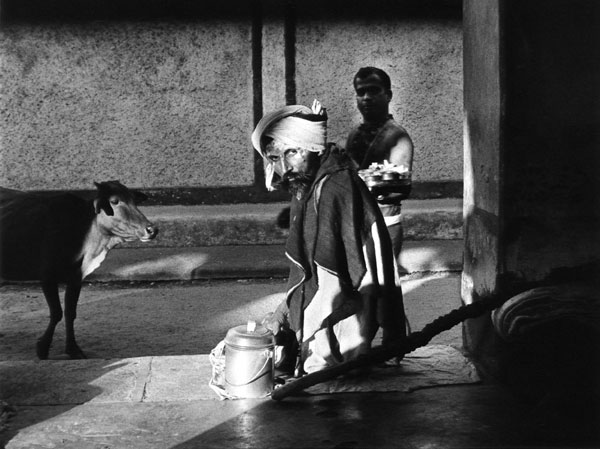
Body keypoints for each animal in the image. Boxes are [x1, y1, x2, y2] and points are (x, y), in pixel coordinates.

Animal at [0, 180, 157, 358]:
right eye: (114, 201)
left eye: (134, 200)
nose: (151, 229)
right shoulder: (47, 275)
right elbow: (56, 312)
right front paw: (43, 347)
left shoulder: (76, 277)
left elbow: (70, 312)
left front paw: (73, 349)